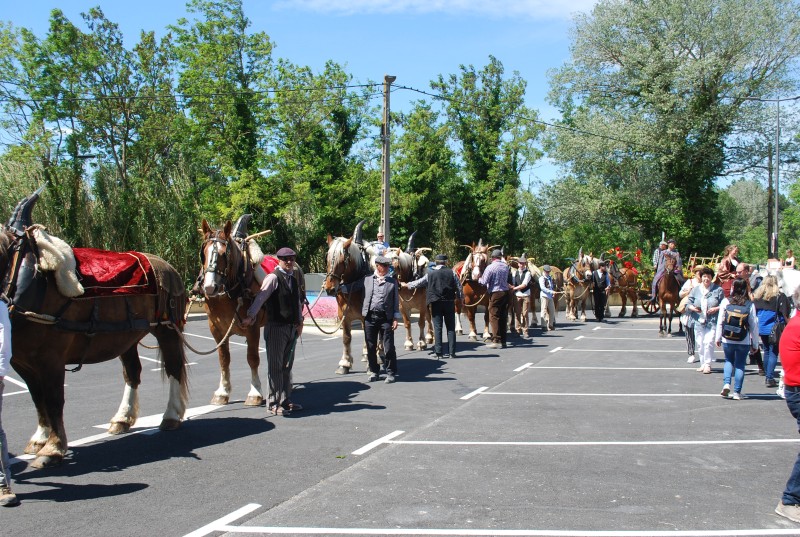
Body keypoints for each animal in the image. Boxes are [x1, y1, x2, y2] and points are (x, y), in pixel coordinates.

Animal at [0, 187, 188, 464]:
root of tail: (166, 266)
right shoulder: (22, 362)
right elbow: (37, 399)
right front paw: (40, 438)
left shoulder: (51, 359)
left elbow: (53, 400)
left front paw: (53, 448)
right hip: (127, 338)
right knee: (132, 372)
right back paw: (122, 418)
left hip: (166, 329)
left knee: (174, 367)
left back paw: (171, 416)